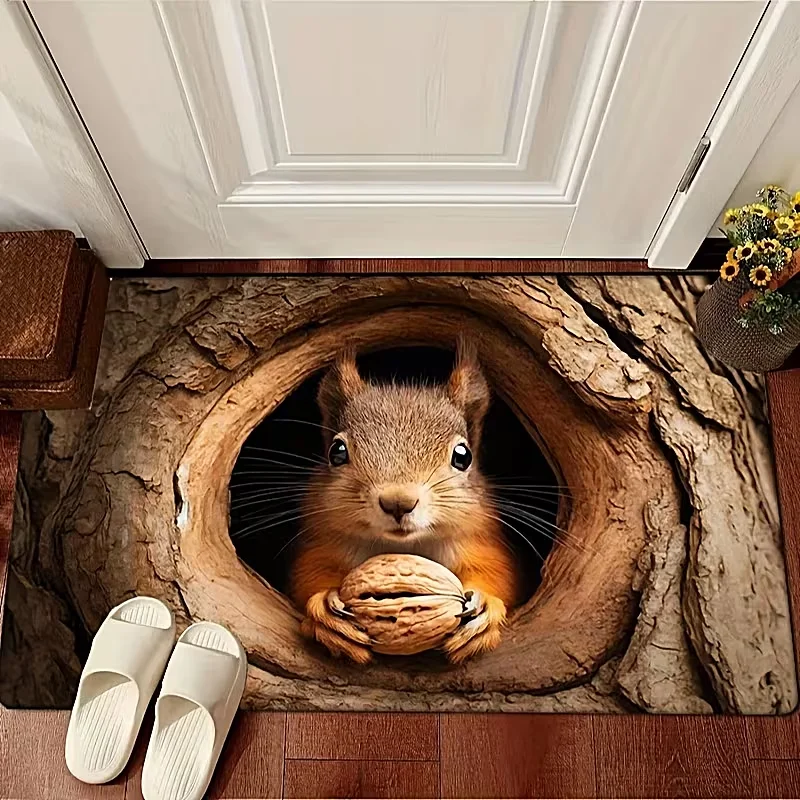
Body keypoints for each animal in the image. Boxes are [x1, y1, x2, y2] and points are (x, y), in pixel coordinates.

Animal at [289, 339, 523, 664]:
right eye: (337, 451)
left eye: (463, 456)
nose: (398, 502)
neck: (405, 546)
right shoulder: (324, 540)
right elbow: (308, 574)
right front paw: (324, 607)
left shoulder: (478, 540)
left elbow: (498, 574)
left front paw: (486, 606)